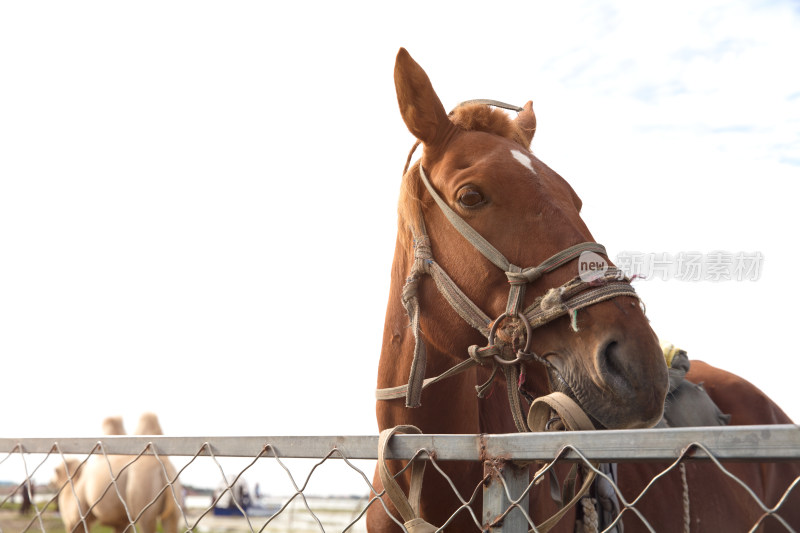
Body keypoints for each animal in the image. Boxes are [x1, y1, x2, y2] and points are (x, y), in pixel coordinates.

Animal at [51, 412, 184, 532]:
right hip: (174, 503)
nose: (51, 482)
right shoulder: (122, 521)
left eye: (56, 471)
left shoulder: (78, 517)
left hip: (144, 496)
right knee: (171, 522)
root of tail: (163, 466)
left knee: (146, 522)